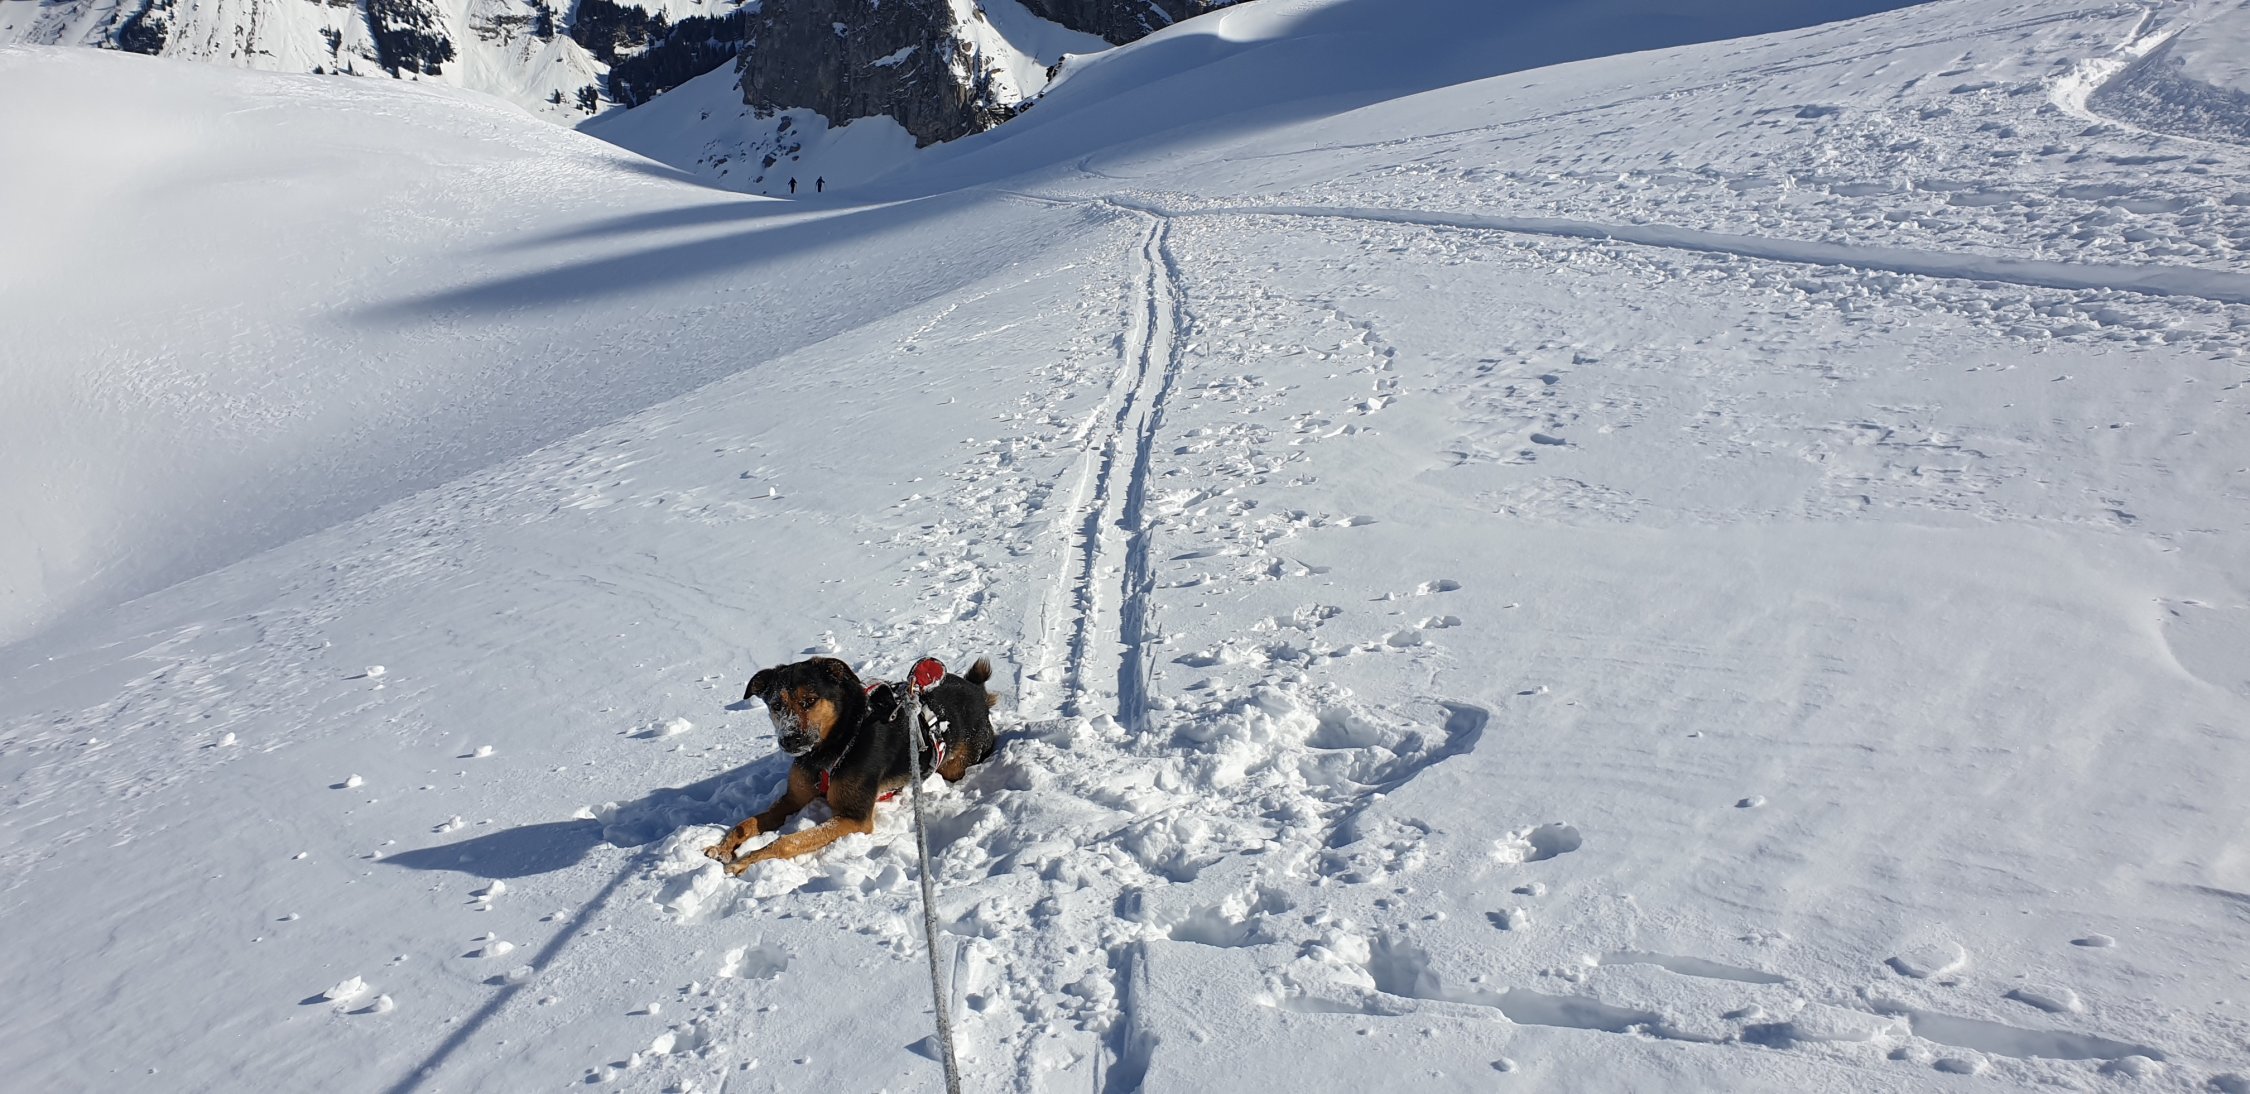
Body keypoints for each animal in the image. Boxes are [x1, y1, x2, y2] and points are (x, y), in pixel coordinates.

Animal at [704, 655, 997, 875]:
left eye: (810, 700)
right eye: (776, 704)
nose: (790, 740)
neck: (838, 742)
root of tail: (977, 691)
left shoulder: (855, 817)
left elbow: (788, 841)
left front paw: (745, 860)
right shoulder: (793, 798)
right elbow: (746, 823)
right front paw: (723, 847)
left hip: (958, 763)